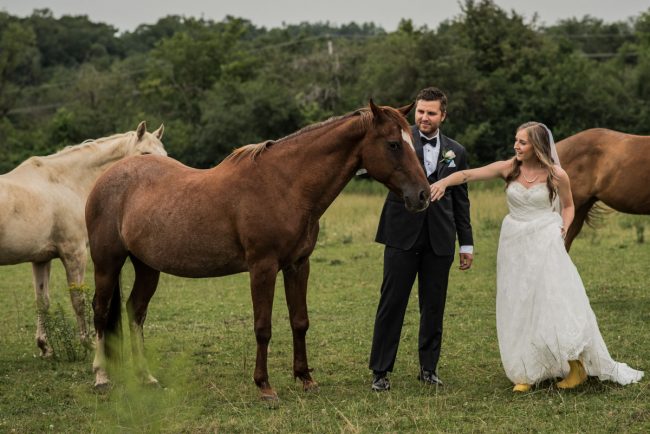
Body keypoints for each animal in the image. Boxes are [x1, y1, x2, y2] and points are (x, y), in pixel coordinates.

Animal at [1, 121, 166, 356]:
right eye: (145, 153)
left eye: (165, 154)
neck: (64, 183)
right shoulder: (75, 253)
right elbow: (78, 300)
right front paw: (87, 342)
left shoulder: (41, 259)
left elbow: (42, 301)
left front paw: (44, 346)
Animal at [85, 101, 430, 401]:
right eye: (393, 144)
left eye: (412, 141)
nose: (423, 195)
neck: (283, 185)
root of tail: (107, 178)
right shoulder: (262, 267)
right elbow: (262, 327)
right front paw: (264, 386)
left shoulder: (298, 265)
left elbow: (300, 321)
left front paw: (305, 378)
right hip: (107, 263)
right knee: (100, 311)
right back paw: (101, 377)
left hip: (147, 266)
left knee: (135, 311)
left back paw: (145, 377)